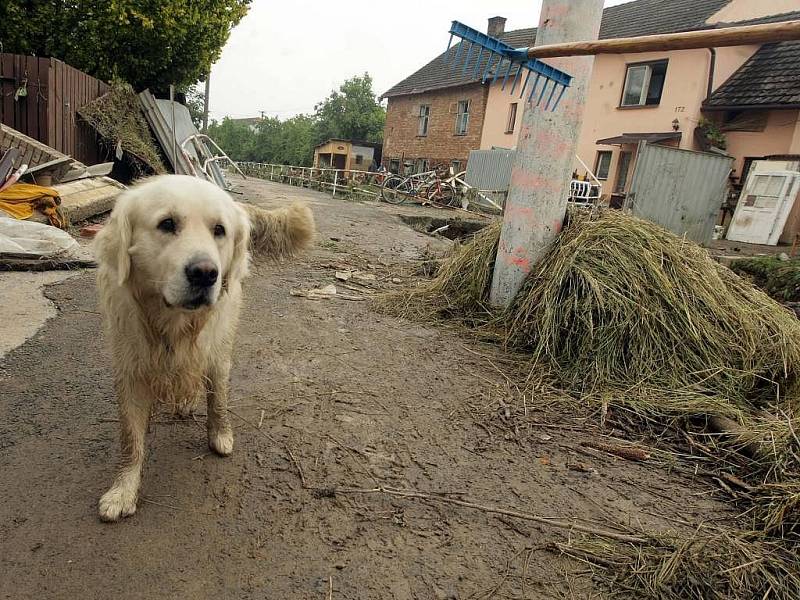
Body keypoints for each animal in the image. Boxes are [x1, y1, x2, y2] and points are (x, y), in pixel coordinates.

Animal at [94, 173, 312, 520]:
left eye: (219, 230)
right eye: (167, 224)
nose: (206, 273)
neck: (172, 322)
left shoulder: (216, 352)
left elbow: (217, 399)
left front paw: (220, 435)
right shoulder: (130, 367)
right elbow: (131, 438)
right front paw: (123, 491)